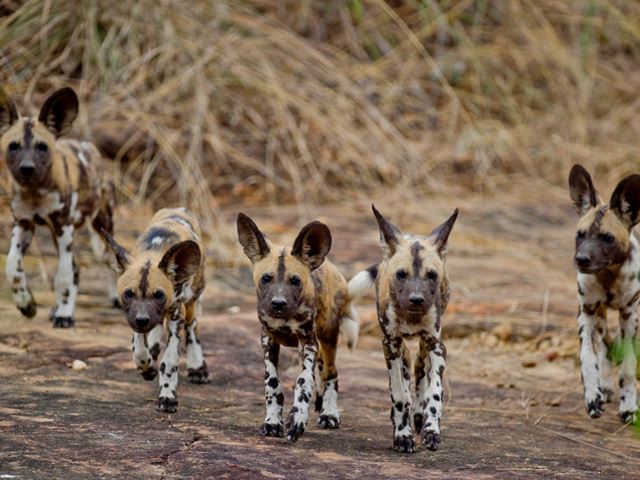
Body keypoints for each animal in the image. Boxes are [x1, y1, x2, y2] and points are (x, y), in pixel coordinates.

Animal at [0, 85, 116, 326]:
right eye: (13, 146)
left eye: (42, 147)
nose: (27, 168)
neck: (35, 192)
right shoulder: (24, 225)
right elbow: (13, 266)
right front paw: (26, 304)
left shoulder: (64, 227)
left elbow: (62, 276)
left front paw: (64, 314)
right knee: (76, 268)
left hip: (101, 228)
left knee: (109, 261)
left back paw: (114, 298)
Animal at [101, 207, 209, 412]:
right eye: (128, 293)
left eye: (159, 295)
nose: (142, 320)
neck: (153, 252)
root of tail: (178, 209)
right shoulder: (134, 318)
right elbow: (138, 350)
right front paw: (146, 366)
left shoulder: (176, 313)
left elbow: (169, 362)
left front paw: (167, 396)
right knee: (156, 330)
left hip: (190, 301)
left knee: (192, 326)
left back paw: (197, 367)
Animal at [238, 216, 360, 444]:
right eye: (266, 278)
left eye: (295, 281)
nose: (278, 303)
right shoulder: (268, 340)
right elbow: (272, 383)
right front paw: (272, 421)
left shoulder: (308, 343)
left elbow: (304, 382)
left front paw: (297, 420)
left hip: (327, 339)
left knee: (331, 374)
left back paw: (329, 413)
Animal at [348, 206, 458, 454]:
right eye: (401, 274)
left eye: (431, 275)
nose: (416, 299)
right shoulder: (391, 344)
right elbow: (399, 394)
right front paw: (402, 435)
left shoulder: (436, 345)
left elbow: (434, 393)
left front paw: (431, 431)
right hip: (399, 347)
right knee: (407, 374)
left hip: (424, 345)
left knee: (419, 371)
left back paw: (418, 415)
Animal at [568, 165, 640, 424]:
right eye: (580, 234)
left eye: (607, 238)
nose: (581, 259)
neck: (608, 276)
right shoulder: (587, 313)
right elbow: (588, 358)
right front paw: (593, 395)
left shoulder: (629, 316)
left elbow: (628, 366)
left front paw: (629, 406)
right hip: (599, 317)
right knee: (606, 344)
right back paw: (605, 386)